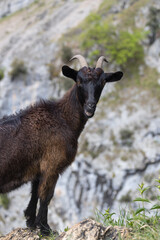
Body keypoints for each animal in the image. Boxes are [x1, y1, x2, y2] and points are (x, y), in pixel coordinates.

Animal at [0, 55, 123, 235]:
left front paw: (31, 222)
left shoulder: (39, 168)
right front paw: (46, 229)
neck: (62, 118)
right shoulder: (52, 166)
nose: (90, 108)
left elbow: (35, 193)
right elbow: (46, 196)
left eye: (103, 82)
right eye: (79, 81)